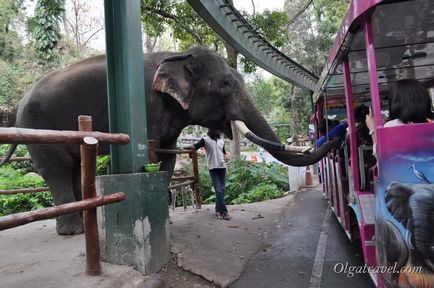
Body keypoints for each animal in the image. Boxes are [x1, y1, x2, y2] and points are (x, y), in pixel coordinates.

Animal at [0, 45, 340, 234]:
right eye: (226, 84)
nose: (340, 132)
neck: (177, 55)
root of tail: (19, 105)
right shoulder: (145, 102)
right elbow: (151, 153)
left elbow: (168, 157)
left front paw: (167, 221)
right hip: (37, 126)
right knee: (56, 169)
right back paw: (73, 232)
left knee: (71, 168)